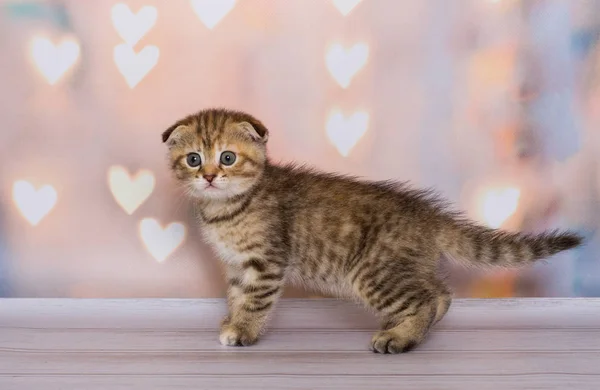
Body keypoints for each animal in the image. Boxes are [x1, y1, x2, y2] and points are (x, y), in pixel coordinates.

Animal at [162, 108, 584, 354]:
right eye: (194, 159)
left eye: (228, 157)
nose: (209, 176)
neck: (226, 208)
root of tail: (427, 214)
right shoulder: (236, 265)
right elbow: (236, 296)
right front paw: (232, 320)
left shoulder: (265, 262)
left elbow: (254, 300)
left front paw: (244, 330)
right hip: (406, 267)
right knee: (441, 293)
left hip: (373, 273)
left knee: (425, 299)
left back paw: (401, 337)